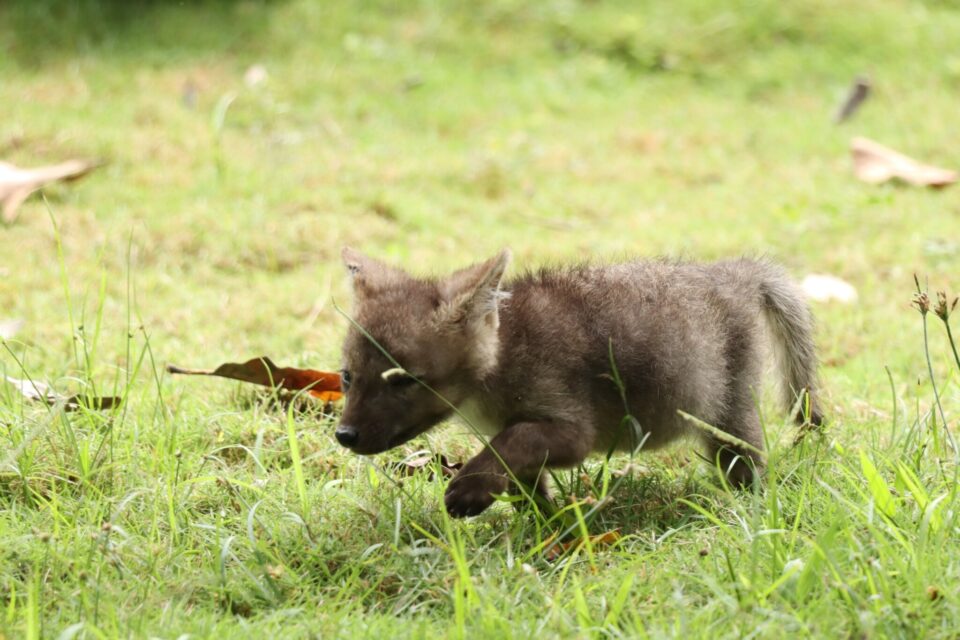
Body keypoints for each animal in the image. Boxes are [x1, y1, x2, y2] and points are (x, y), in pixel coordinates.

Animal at [335, 248, 822, 518]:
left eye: (403, 379)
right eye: (346, 376)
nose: (344, 435)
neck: (506, 355)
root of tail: (734, 272)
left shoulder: (573, 432)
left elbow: (510, 442)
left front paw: (469, 490)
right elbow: (525, 484)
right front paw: (548, 529)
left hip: (728, 420)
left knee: (751, 469)